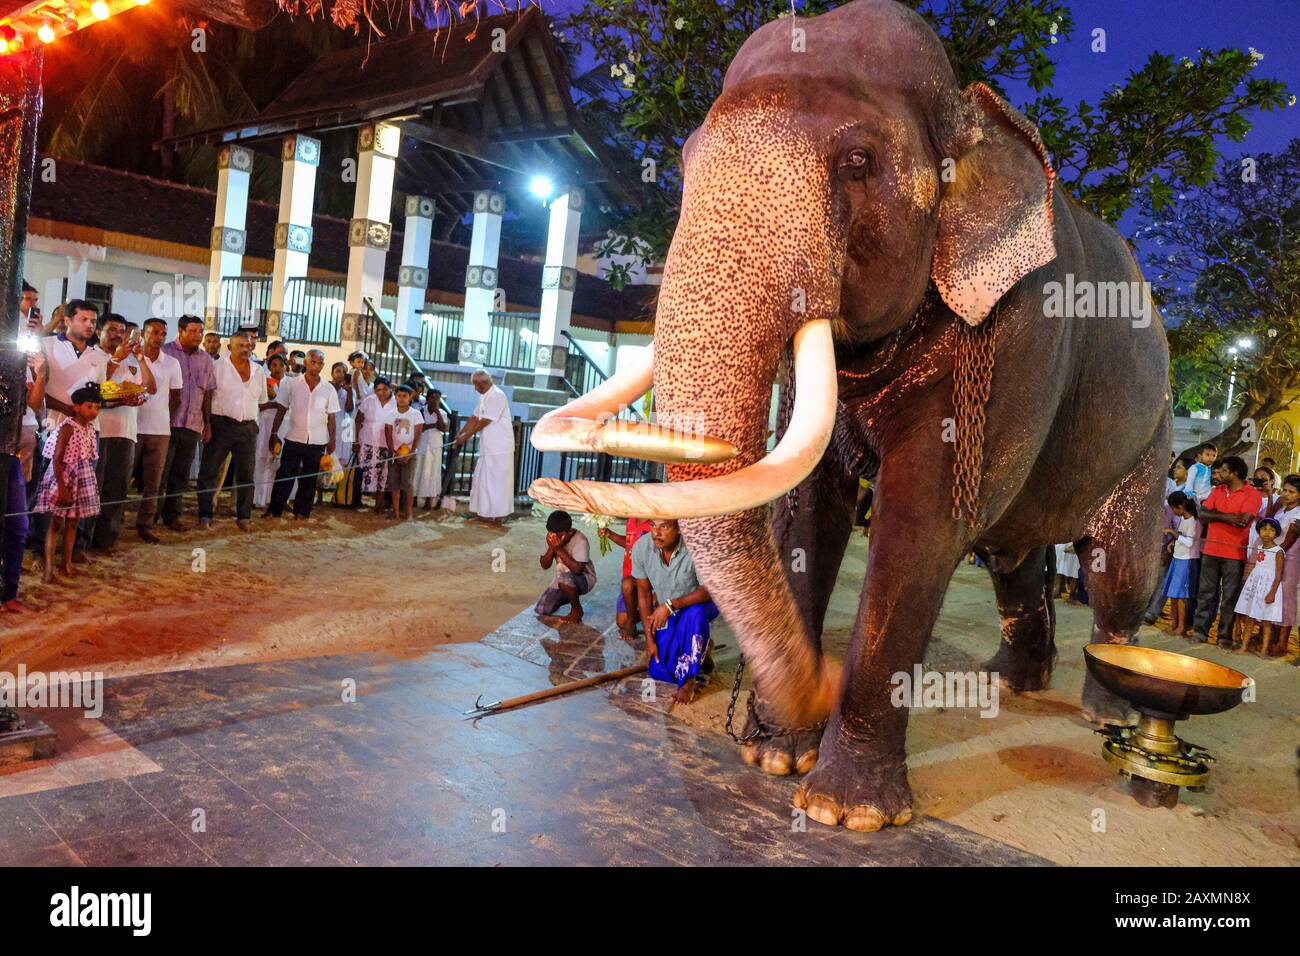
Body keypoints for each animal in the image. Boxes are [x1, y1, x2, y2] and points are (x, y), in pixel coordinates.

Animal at [527, 0, 1170, 832]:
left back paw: (1108, 711)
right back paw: (1010, 681)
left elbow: (922, 520)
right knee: (1012, 556)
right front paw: (771, 757)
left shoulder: (1024, 332)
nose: (822, 676)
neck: (966, 107)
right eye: (686, 162)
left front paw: (847, 811)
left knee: (1119, 564)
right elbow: (808, 505)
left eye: (859, 161)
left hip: (1152, 430)